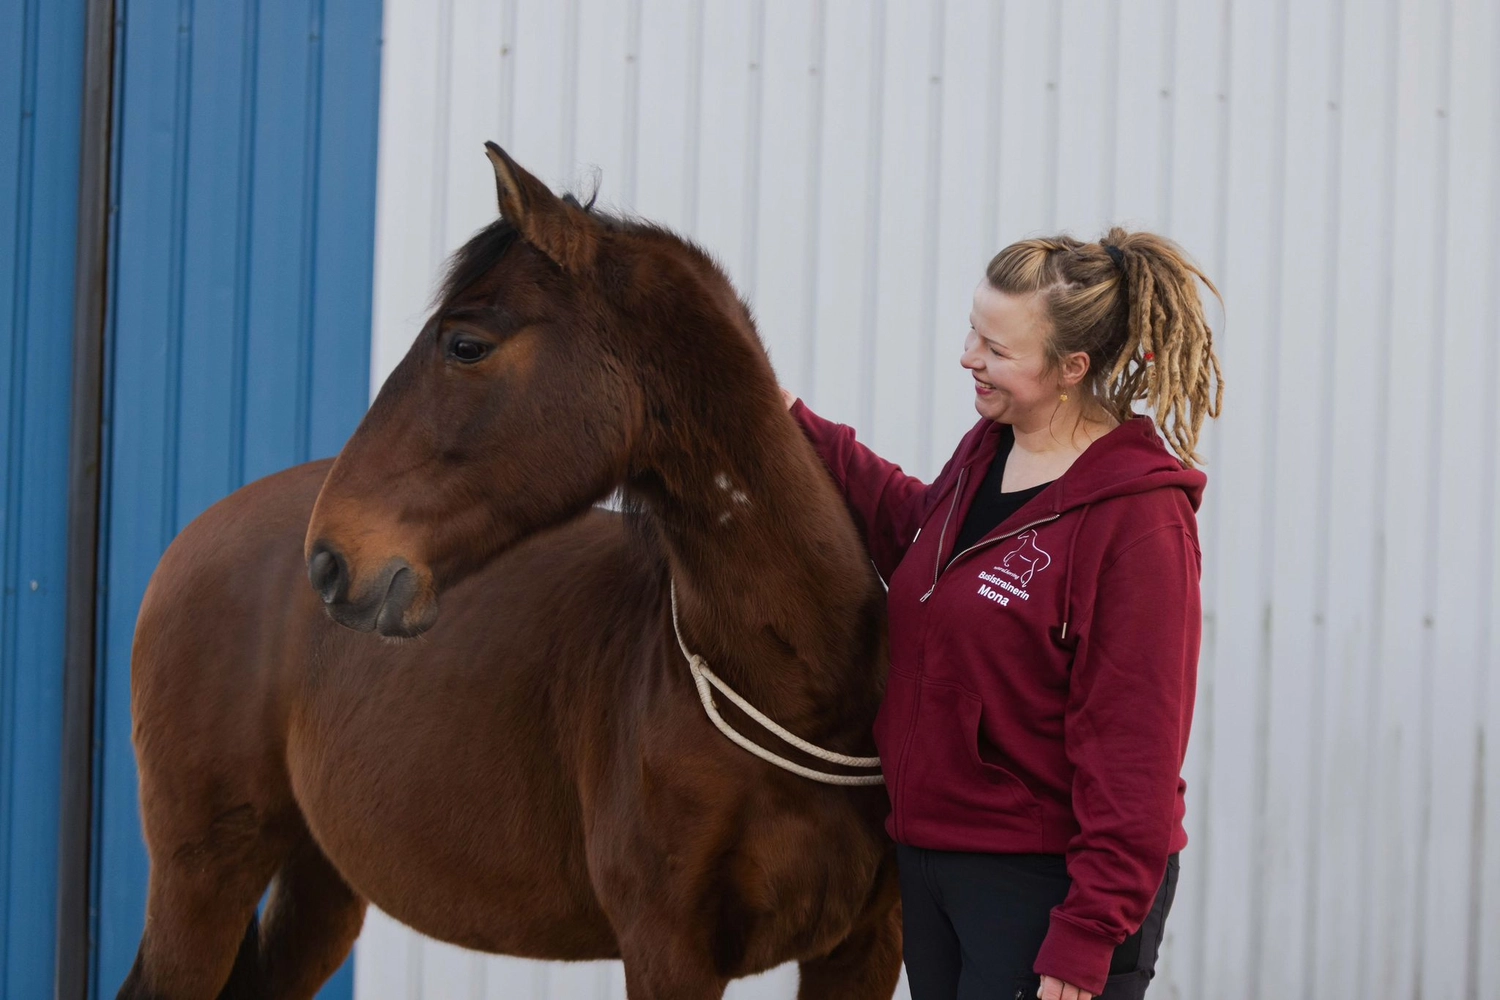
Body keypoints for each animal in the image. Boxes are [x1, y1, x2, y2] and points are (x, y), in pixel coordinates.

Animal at [119, 143, 900, 1000]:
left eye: (466, 345)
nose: (328, 560)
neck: (797, 684)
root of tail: (194, 539)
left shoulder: (865, 947)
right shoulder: (668, 951)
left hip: (319, 884)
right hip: (204, 875)